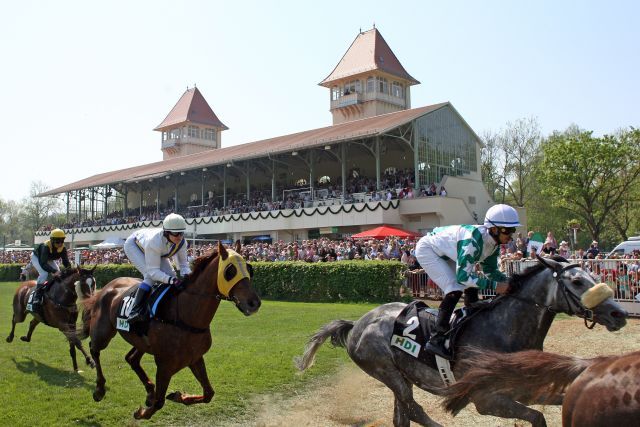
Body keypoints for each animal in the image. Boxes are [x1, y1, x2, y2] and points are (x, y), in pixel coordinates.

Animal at [79, 242, 262, 420]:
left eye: (249, 268)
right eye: (230, 271)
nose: (254, 303)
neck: (186, 317)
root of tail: (106, 287)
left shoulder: (195, 358)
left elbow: (209, 393)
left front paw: (178, 396)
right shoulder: (164, 364)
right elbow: (159, 402)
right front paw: (142, 412)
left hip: (141, 341)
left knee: (131, 358)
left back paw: (149, 391)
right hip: (103, 332)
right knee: (94, 349)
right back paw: (99, 389)